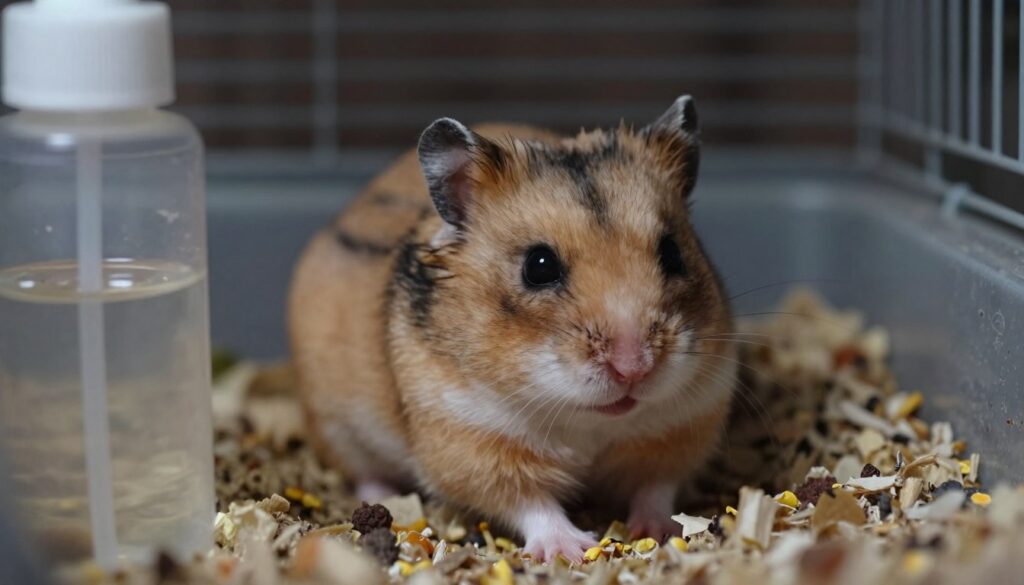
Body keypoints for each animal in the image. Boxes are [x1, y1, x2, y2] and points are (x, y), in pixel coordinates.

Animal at [288, 95, 736, 562]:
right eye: (538, 266)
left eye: (673, 253)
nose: (634, 368)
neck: (588, 420)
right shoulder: (471, 440)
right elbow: (531, 502)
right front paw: (571, 550)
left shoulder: (684, 424)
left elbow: (654, 489)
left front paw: (662, 532)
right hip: (336, 427)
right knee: (364, 471)